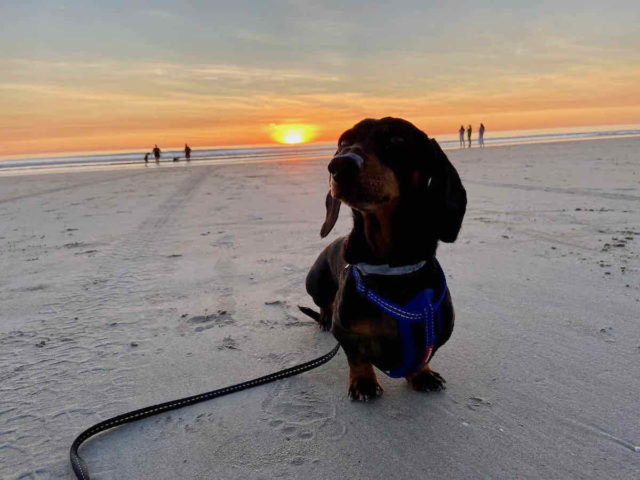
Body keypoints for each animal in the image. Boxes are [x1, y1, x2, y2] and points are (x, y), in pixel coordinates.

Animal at [300, 116, 464, 402]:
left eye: (395, 140)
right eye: (342, 142)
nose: (339, 165)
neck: (391, 270)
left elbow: (422, 358)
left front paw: (422, 374)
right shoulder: (345, 332)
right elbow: (357, 357)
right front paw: (364, 382)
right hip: (315, 282)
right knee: (323, 304)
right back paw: (324, 318)